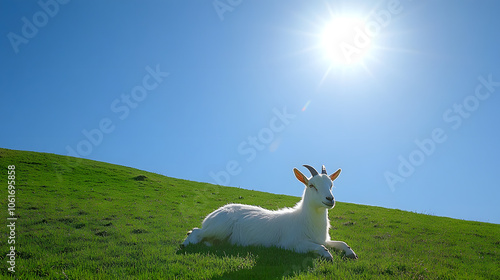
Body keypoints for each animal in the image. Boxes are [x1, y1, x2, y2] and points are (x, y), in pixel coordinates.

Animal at [182, 165, 358, 260]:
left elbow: (341, 243)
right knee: (196, 231)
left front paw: (351, 253)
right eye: (311, 185)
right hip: (219, 227)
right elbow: (320, 247)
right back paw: (186, 243)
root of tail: (212, 214)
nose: (330, 199)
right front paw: (328, 256)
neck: (304, 219)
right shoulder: (291, 244)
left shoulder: (322, 239)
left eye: (331, 185)